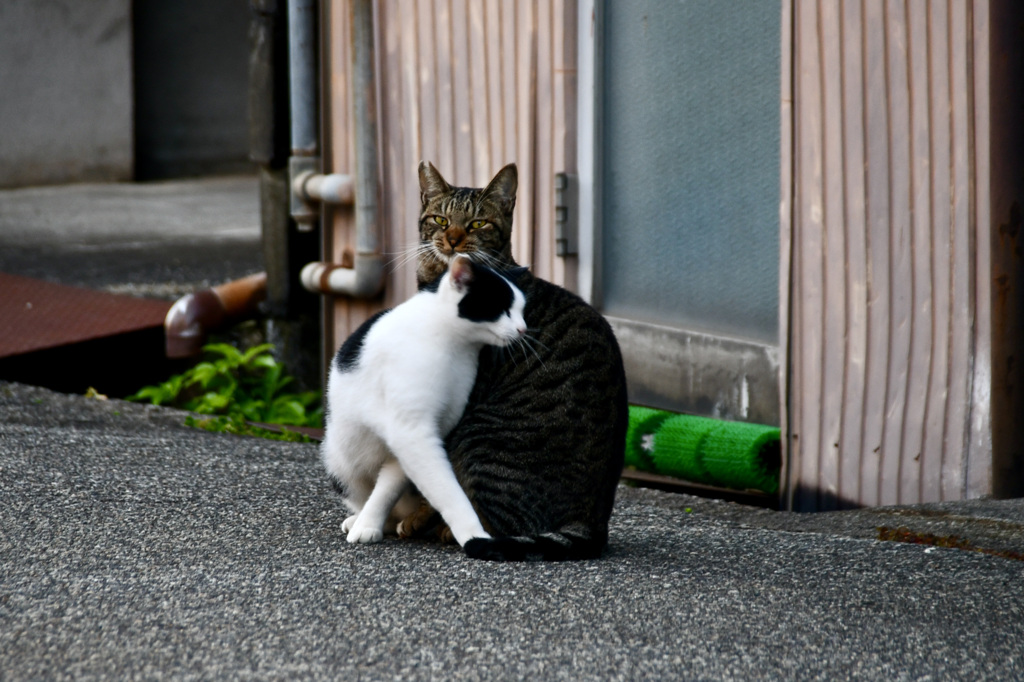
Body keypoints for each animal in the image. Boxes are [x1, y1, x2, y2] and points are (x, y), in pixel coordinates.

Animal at [319, 251, 528, 544]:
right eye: (504, 310)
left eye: (522, 311)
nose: (523, 329)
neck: (454, 346)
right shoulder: (411, 431)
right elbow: (446, 491)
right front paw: (472, 534)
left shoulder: (425, 432)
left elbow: (388, 487)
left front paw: (371, 522)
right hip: (339, 459)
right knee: (357, 490)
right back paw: (360, 518)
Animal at [409, 161, 630, 561]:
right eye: (440, 219)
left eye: (477, 224)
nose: (453, 239)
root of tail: (593, 522)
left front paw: (417, 516)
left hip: (483, 437)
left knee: (502, 526)